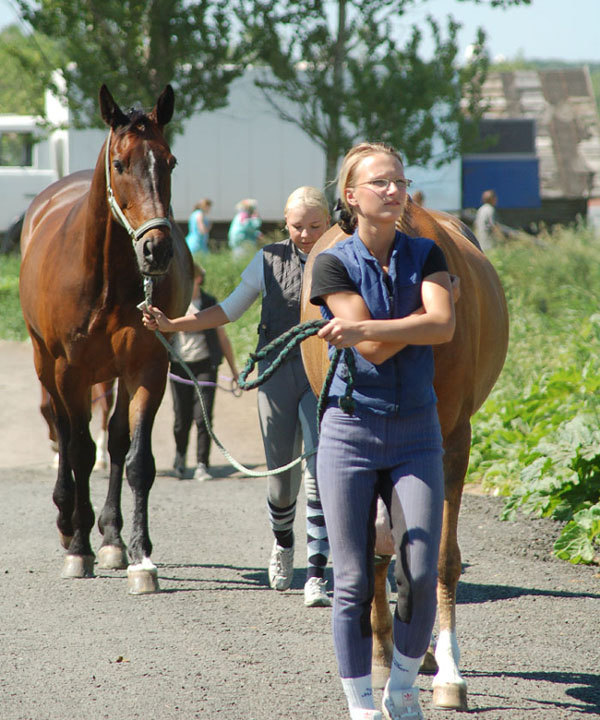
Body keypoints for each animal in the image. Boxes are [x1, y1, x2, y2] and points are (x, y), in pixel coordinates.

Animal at [19, 84, 193, 592]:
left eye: (169, 161)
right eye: (120, 164)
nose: (157, 250)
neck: (107, 280)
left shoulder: (148, 368)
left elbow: (136, 460)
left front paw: (139, 555)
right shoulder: (70, 371)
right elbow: (79, 450)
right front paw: (79, 549)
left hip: (114, 373)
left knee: (114, 440)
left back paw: (112, 537)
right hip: (46, 363)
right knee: (61, 429)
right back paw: (68, 521)